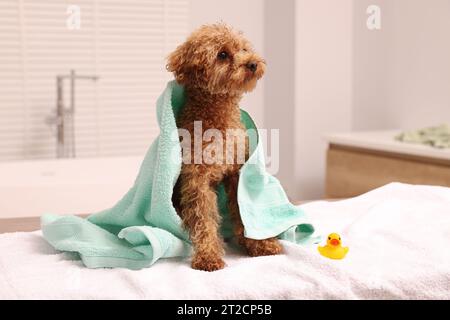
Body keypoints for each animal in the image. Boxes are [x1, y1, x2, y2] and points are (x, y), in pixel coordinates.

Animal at [168, 23, 282, 272]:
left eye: (243, 49)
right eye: (222, 54)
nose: (253, 63)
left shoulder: (237, 173)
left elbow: (242, 210)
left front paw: (260, 245)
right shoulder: (197, 180)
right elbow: (204, 219)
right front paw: (208, 256)